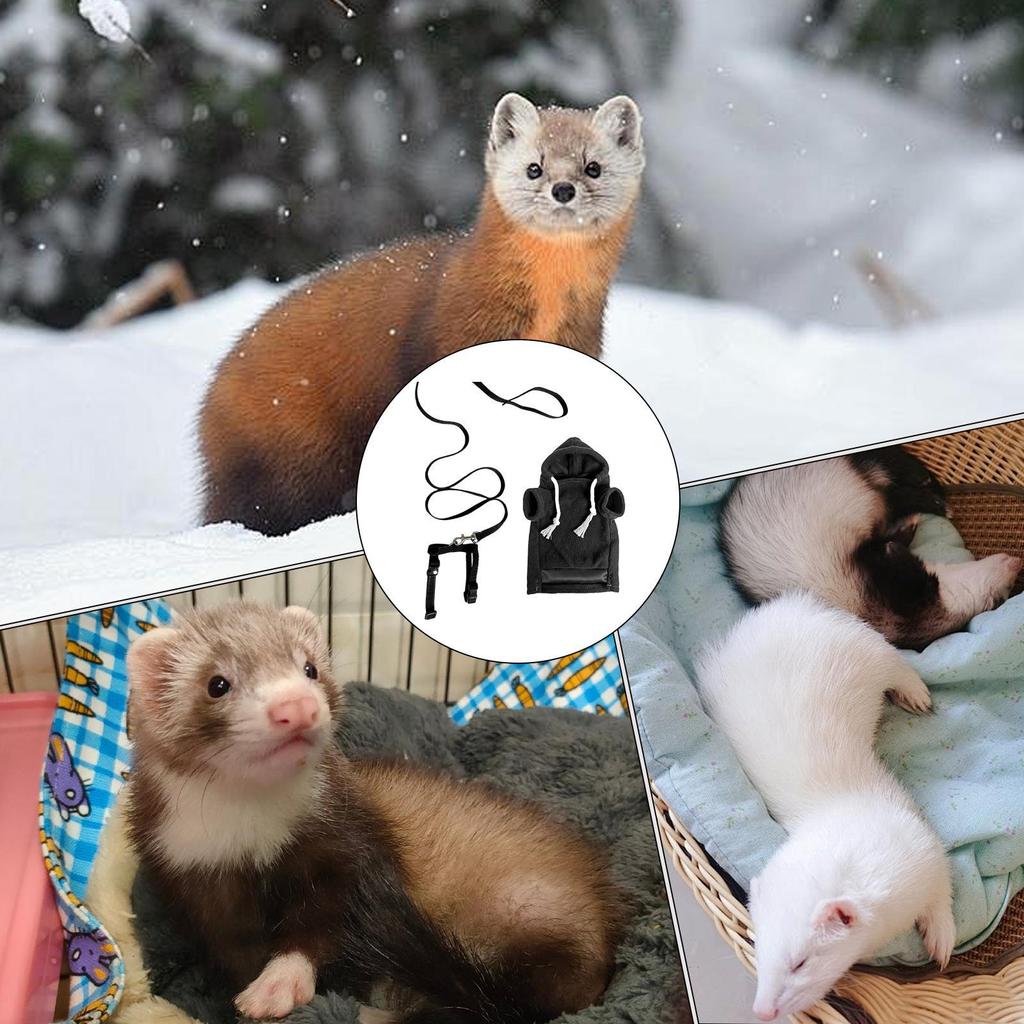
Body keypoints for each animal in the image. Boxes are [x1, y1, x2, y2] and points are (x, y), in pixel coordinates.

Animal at [124, 603, 624, 1023]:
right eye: (217, 684)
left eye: (310, 667)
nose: (296, 705)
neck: (251, 840)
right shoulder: (203, 888)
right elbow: (236, 952)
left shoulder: (343, 850)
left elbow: (320, 929)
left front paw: (279, 985)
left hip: (525, 909)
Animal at [696, 592, 955, 1022]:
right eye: (758, 948)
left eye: (800, 961)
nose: (762, 1010)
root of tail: (790, 605)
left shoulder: (925, 846)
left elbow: (942, 891)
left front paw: (941, 935)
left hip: (867, 650)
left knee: (897, 662)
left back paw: (915, 692)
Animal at [719, 445, 1021, 649]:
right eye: (1002, 596)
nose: (1015, 561)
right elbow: (892, 547)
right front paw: (903, 536)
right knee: (893, 470)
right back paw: (928, 490)